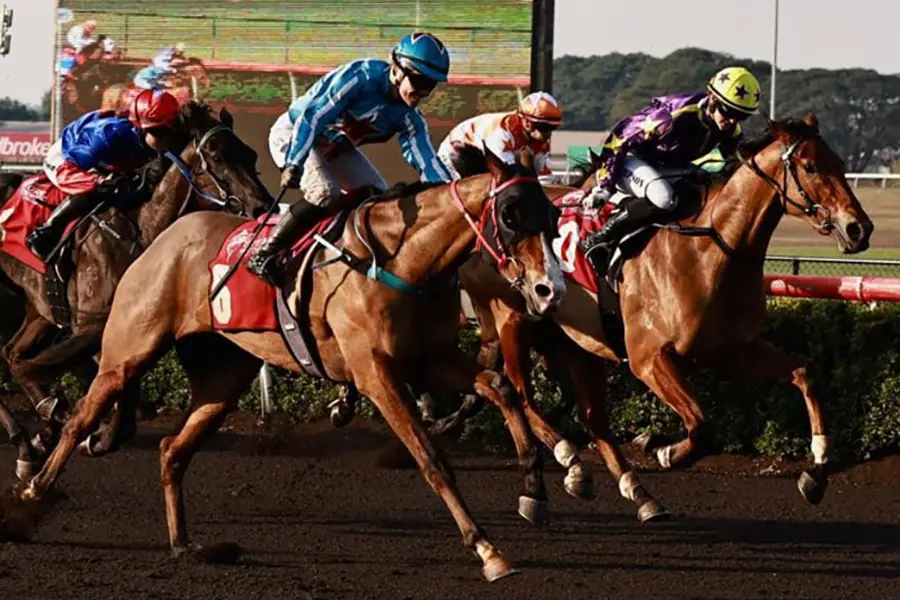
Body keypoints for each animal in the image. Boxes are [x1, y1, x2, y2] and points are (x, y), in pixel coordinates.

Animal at [0, 102, 274, 478]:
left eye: (249, 153)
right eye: (217, 157)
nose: (263, 207)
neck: (141, 233)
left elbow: (127, 409)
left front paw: (82, 433)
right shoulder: (93, 327)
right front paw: (86, 432)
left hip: (37, 310)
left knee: (12, 354)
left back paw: (35, 433)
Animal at [10, 150, 568, 580]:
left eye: (552, 215)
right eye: (512, 214)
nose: (549, 290)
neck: (401, 260)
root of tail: (162, 238)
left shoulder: (429, 358)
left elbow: (499, 386)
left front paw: (535, 490)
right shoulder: (376, 373)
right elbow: (431, 459)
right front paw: (487, 549)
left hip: (222, 376)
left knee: (172, 449)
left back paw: (184, 542)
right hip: (130, 350)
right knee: (82, 416)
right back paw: (31, 494)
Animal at [454, 112, 868, 510]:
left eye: (840, 163)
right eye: (810, 166)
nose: (859, 229)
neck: (710, 251)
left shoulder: (734, 352)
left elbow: (804, 376)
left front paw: (816, 473)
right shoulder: (648, 358)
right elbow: (701, 423)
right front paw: (661, 448)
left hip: (576, 343)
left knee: (593, 420)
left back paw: (633, 492)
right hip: (514, 322)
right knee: (521, 395)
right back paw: (567, 460)